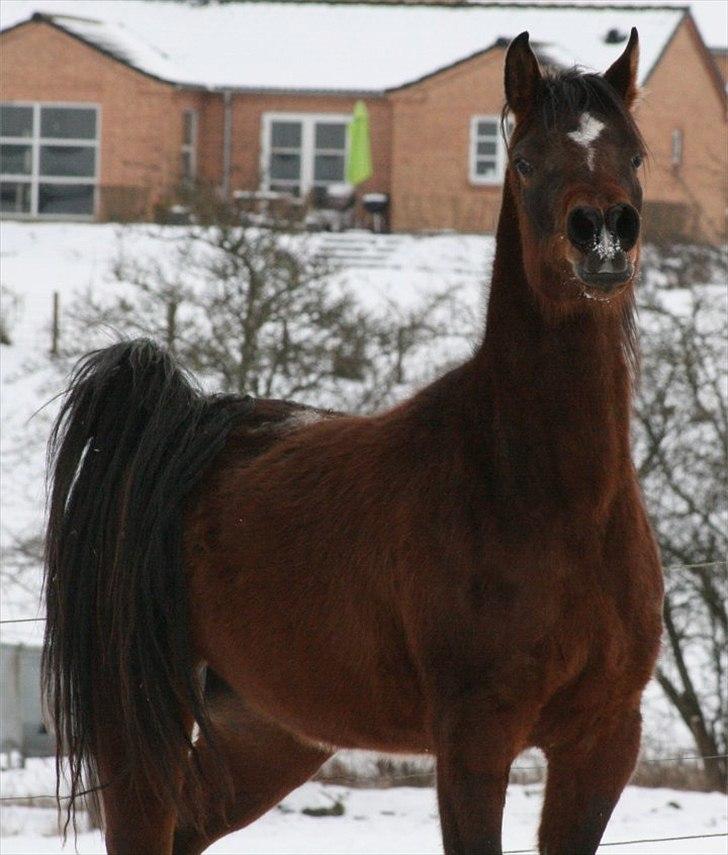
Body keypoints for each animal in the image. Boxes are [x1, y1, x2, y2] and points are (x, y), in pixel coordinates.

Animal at [42, 28, 664, 855]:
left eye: (635, 154)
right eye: (528, 158)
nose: (603, 236)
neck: (550, 497)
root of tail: (178, 431)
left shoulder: (603, 740)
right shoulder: (473, 740)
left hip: (270, 730)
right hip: (142, 724)